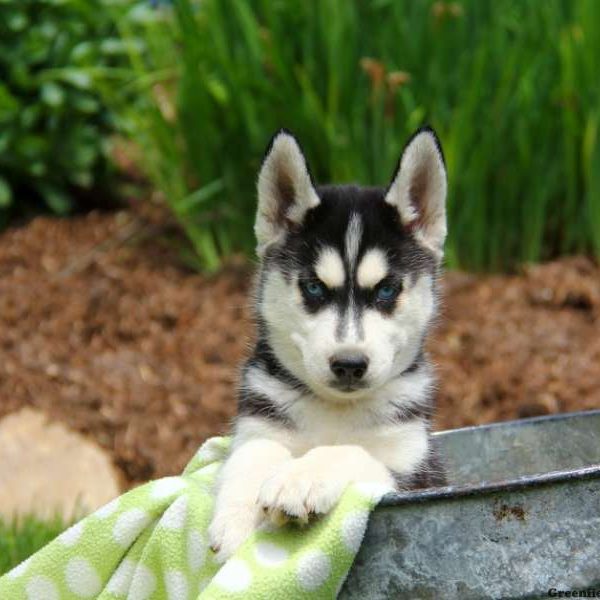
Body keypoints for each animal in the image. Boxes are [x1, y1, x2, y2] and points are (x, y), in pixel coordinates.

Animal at [209, 127, 448, 564]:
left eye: (386, 290)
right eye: (314, 288)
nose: (349, 363)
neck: (336, 411)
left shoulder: (417, 470)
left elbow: (352, 451)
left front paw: (302, 477)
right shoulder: (257, 426)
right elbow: (253, 453)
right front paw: (236, 518)